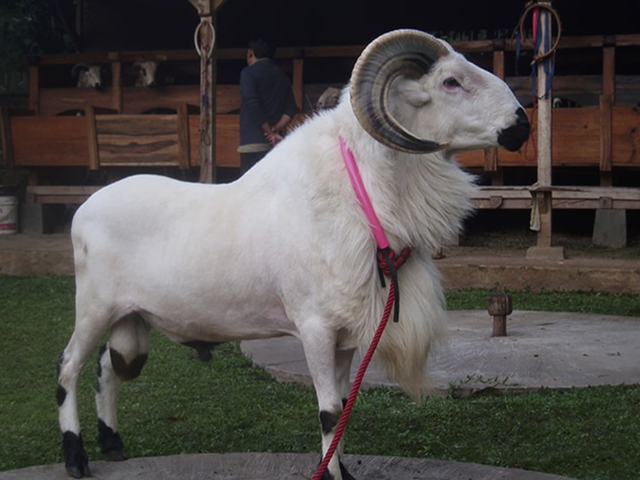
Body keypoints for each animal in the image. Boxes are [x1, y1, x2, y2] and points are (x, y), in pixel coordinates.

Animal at [56, 29, 530, 480]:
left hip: (131, 318)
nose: (521, 125)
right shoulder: (315, 328)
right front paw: (333, 475)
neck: (359, 195)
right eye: (450, 81)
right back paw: (76, 458)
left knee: (108, 366)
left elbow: (344, 406)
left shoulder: (346, 336)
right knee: (68, 368)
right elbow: (330, 412)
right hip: (94, 307)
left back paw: (112, 444)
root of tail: (83, 208)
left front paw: (345, 470)